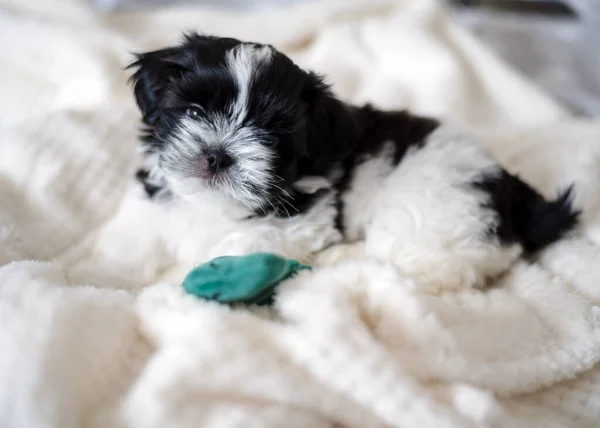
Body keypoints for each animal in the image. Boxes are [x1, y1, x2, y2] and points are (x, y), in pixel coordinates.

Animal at [129, 34, 580, 290]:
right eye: (193, 111)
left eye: (270, 137)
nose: (218, 154)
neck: (213, 206)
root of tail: (515, 195)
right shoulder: (155, 208)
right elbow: (136, 239)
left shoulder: (295, 225)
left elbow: (229, 250)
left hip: (431, 217)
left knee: (413, 268)